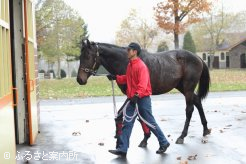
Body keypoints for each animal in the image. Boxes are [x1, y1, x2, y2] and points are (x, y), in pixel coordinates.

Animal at [77, 39, 211, 144]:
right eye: (80, 56)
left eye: (88, 56)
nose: (79, 79)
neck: (126, 62)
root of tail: (198, 58)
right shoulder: (134, 96)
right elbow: (132, 115)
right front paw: (144, 137)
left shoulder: (133, 95)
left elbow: (132, 115)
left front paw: (145, 137)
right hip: (181, 87)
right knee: (197, 101)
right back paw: (205, 130)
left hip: (188, 87)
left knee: (189, 109)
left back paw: (182, 136)